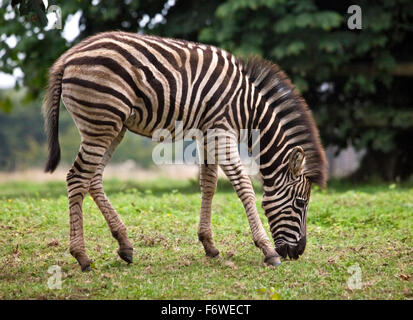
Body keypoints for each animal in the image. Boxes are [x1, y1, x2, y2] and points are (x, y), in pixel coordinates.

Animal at [41, 30, 326, 272]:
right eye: (301, 203)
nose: (299, 252)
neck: (248, 107)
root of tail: (68, 56)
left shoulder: (208, 132)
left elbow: (208, 183)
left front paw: (209, 245)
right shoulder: (222, 130)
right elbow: (243, 185)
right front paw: (267, 250)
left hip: (113, 126)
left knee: (93, 178)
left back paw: (124, 244)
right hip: (101, 121)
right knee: (77, 177)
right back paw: (82, 257)